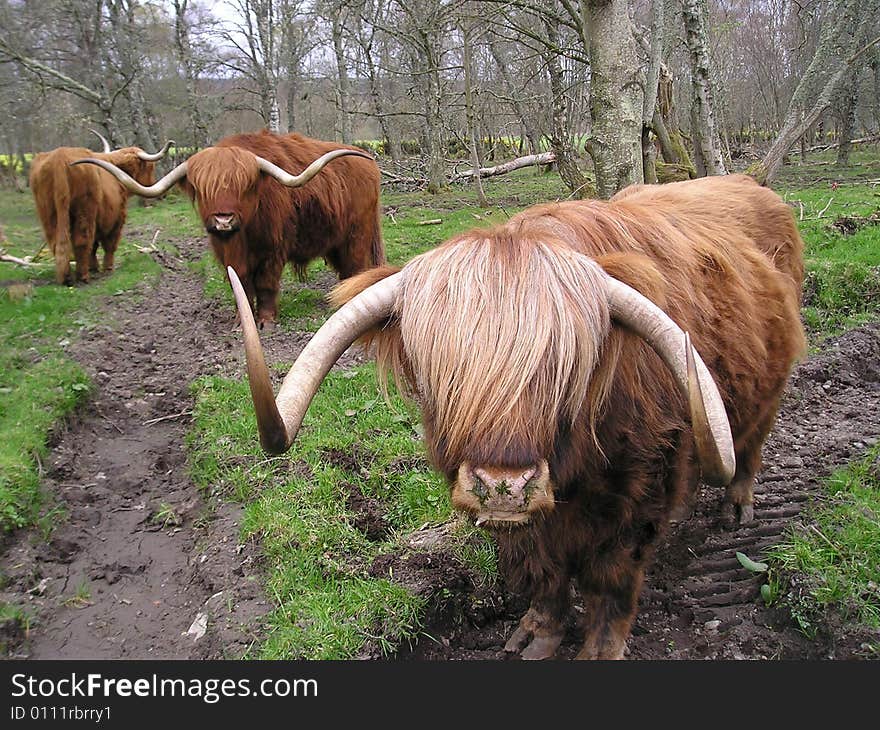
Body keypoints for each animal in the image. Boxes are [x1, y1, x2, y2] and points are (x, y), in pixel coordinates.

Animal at [31, 132, 172, 286]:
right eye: (150, 167)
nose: (161, 192)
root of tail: (59, 158)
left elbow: (94, 246)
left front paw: (94, 267)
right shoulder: (117, 217)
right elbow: (109, 244)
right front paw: (108, 268)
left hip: (48, 213)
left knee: (57, 242)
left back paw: (66, 277)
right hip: (84, 211)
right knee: (82, 240)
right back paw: (83, 276)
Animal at [78, 129, 384, 328]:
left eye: (244, 185)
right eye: (202, 188)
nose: (223, 220)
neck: (243, 237)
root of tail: (366, 160)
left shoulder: (273, 250)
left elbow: (265, 284)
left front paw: (266, 321)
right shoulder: (228, 255)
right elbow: (242, 286)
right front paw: (242, 321)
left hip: (357, 233)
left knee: (357, 265)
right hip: (336, 240)